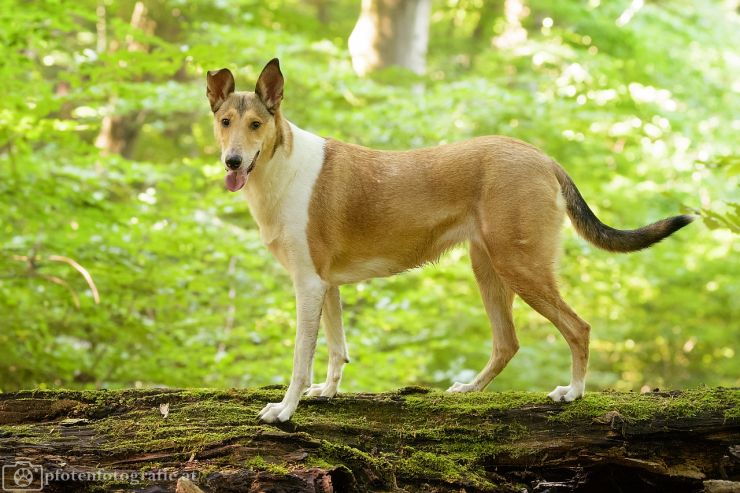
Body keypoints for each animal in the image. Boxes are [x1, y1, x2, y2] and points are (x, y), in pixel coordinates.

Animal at [205, 56, 692, 418]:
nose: (233, 162)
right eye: (225, 121)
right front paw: (326, 392)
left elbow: (300, 358)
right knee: (507, 342)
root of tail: (544, 158)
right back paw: (471, 389)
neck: (278, 167)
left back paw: (571, 392)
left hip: (520, 266)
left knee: (578, 327)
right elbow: (336, 348)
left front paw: (284, 410)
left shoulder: (307, 283)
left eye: (255, 125)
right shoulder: (326, 285)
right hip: (489, 267)